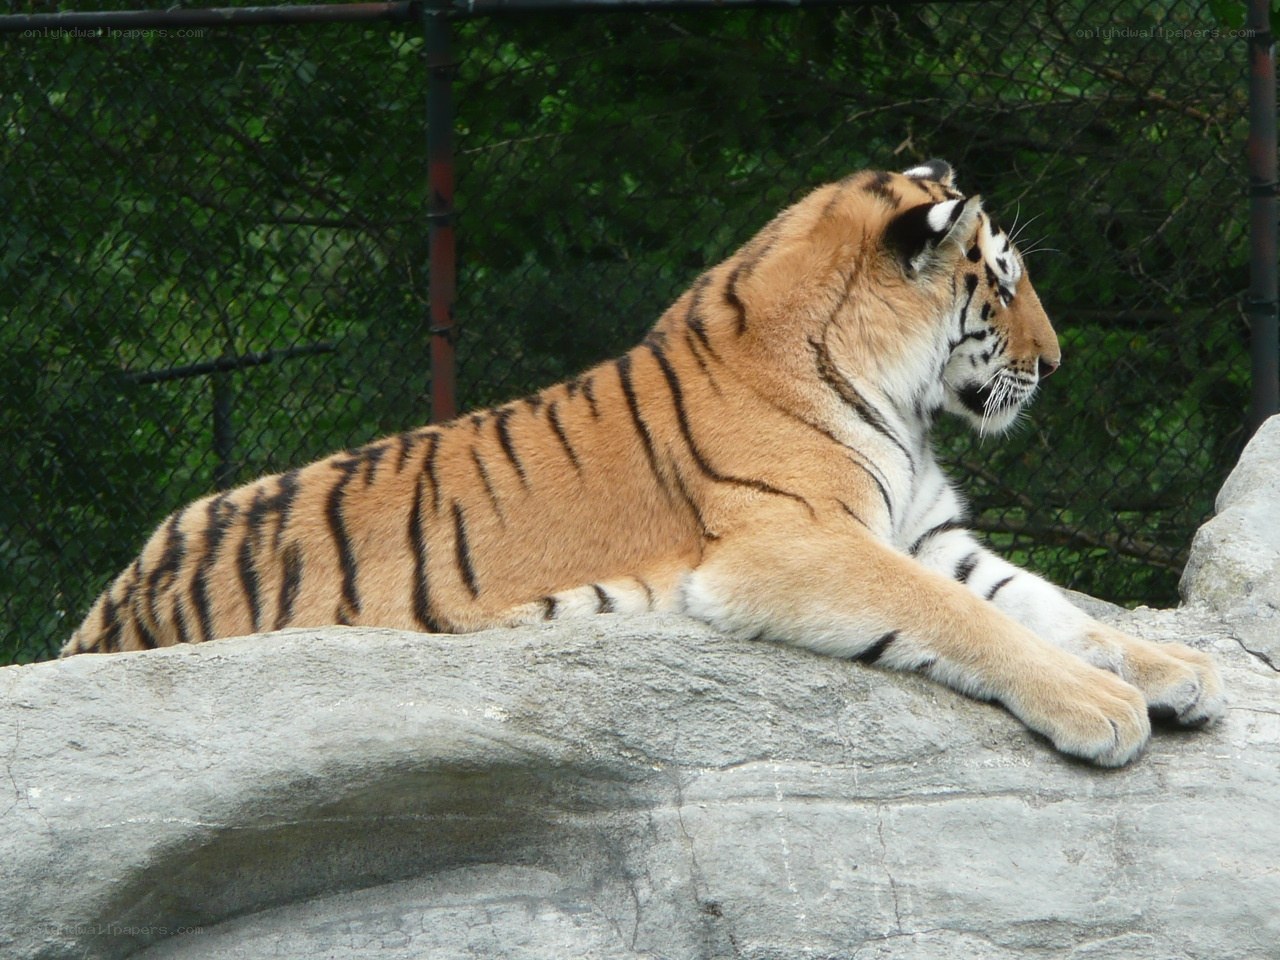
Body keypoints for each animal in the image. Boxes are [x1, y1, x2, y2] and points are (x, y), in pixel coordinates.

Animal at [63, 160, 1225, 766]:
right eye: (1005, 281)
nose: (1055, 361)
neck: (896, 394)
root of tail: (111, 608)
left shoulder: (923, 531)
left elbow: (1045, 604)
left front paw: (1177, 671)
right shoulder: (795, 544)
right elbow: (966, 619)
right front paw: (1100, 707)